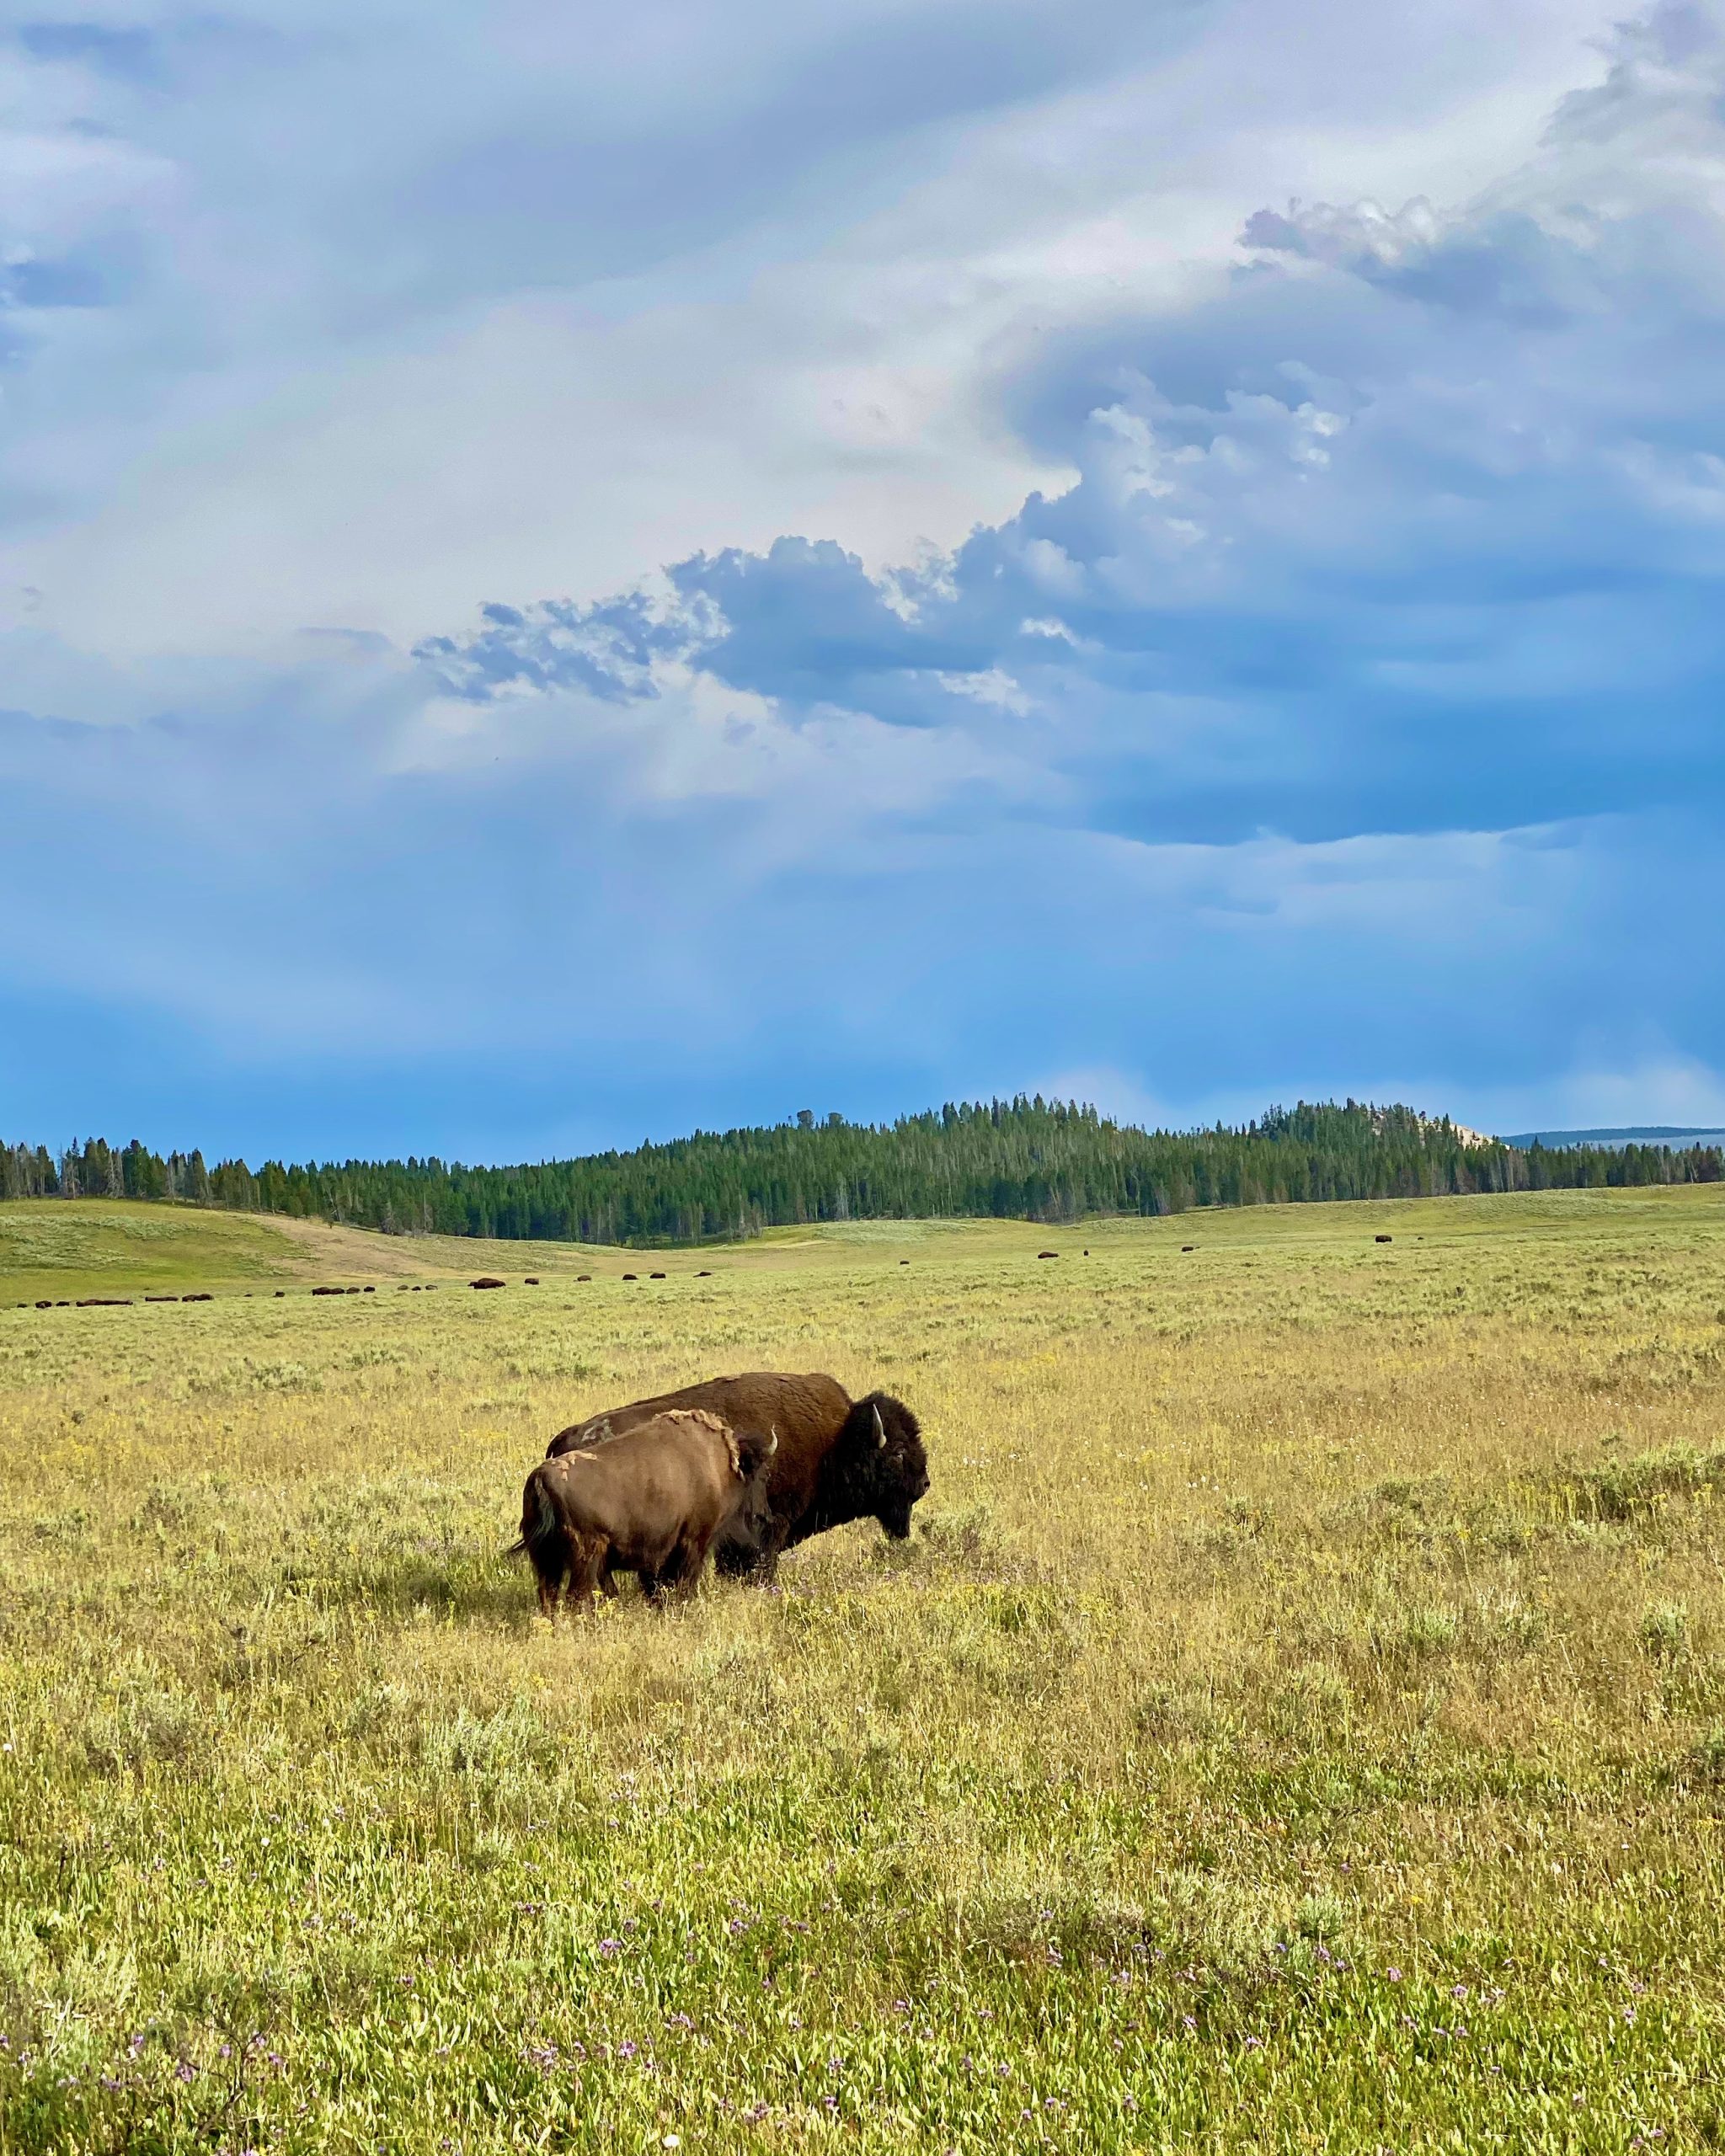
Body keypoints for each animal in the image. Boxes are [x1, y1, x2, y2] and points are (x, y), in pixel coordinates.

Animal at [513, 1406, 776, 1612]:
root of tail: (542, 1477)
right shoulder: (694, 1541)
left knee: (549, 1595)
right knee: (576, 1597)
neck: (719, 1464)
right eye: (760, 1474)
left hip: (547, 1560)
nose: (764, 1514)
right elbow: (685, 1581)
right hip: (585, 1557)